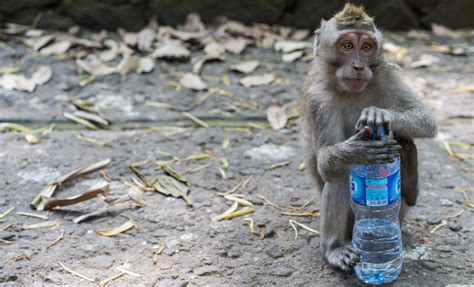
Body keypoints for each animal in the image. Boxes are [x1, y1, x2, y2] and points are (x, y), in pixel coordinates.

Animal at [302, 4, 438, 274]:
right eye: (347, 46)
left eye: (366, 47)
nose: (357, 66)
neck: (350, 91)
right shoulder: (317, 99)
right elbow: (324, 164)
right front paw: (356, 150)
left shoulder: (386, 75)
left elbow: (426, 119)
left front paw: (378, 115)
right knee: (339, 177)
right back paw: (334, 249)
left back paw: (408, 161)